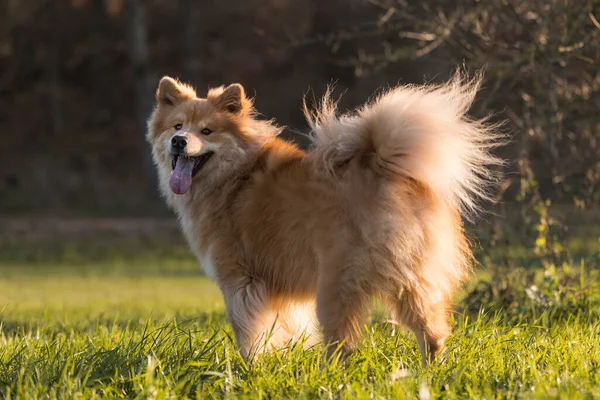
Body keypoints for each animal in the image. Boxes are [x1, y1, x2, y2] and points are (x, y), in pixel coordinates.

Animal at [148, 72, 504, 366]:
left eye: (206, 130)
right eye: (177, 126)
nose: (179, 141)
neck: (234, 177)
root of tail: (384, 167)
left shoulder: (239, 281)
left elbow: (248, 333)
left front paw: (250, 369)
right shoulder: (278, 290)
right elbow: (284, 330)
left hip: (336, 283)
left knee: (342, 344)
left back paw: (327, 375)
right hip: (413, 281)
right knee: (431, 333)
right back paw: (430, 372)